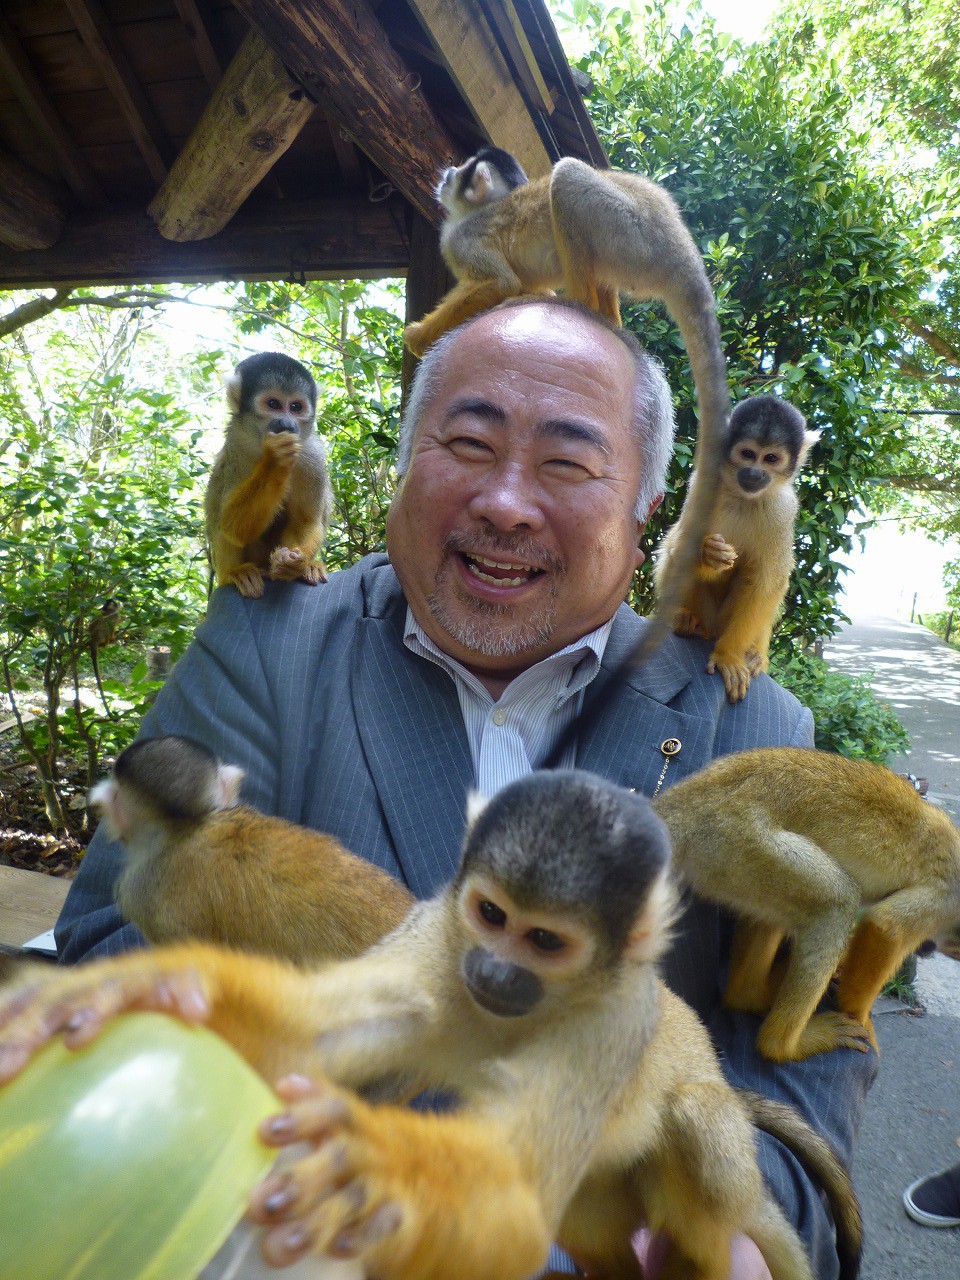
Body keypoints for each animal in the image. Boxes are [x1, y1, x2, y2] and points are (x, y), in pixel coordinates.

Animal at [0, 768, 855, 1280]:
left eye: (545, 941)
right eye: (492, 915)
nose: (494, 971)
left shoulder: (614, 1021)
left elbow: (514, 1191)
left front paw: (372, 1166)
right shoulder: (439, 934)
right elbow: (311, 1036)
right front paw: (152, 983)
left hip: (721, 1169)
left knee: (698, 1126)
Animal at [206, 350, 335, 599]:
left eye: (296, 407)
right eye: (273, 404)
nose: (287, 423)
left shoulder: (313, 454)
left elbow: (307, 521)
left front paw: (294, 563)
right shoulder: (236, 444)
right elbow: (232, 526)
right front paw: (275, 460)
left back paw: (308, 566)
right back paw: (235, 573)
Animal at [660, 747, 960, 1059]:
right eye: (956, 947)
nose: (929, 950)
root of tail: (684, 801)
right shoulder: (950, 894)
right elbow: (887, 926)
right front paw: (859, 1015)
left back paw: (749, 998)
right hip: (730, 839)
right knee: (836, 904)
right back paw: (783, 1045)